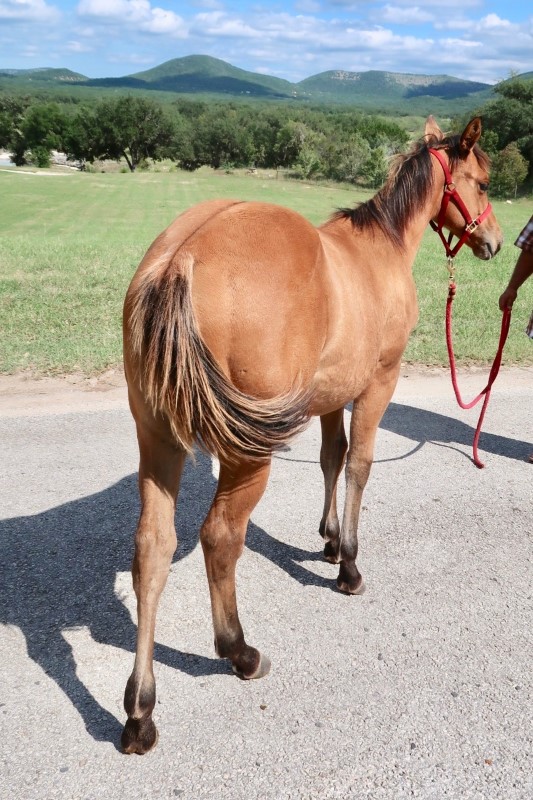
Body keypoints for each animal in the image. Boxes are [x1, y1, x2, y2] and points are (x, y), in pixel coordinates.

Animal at [120, 115, 502, 752]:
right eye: (481, 181)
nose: (496, 241)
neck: (380, 251)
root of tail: (181, 259)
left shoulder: (330, 397)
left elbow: (331, 457)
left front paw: (327, 538)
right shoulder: (377, 385)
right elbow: (359, 466)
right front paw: (348, 564)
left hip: (159, 442)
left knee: (152, 550)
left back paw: (140, 710)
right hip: (246, 456)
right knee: (220, 538)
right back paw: (239, 652)